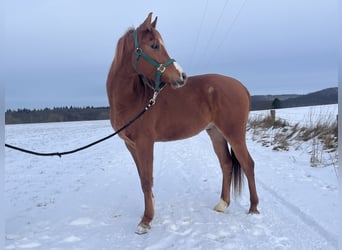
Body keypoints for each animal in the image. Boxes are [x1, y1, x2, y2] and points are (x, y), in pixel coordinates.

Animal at [107, 12, 260, 233]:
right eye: (154, 45)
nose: (182, 76)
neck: (133, 98)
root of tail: (241, 86)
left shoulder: (145, 143)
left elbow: (147, 180)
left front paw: (146, 220)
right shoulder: (131, 146)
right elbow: (143, 179)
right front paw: (150, 211)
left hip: (234, 134)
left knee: (248, 164)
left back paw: (254, 208)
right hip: (216, 133)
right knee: (226, 163)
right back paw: (222, 204)